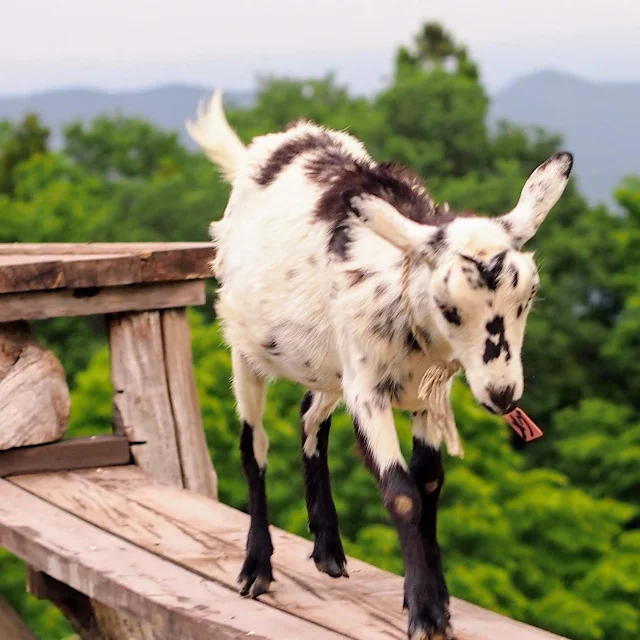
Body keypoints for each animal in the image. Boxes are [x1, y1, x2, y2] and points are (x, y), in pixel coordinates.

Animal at [188, 91, 572, 640]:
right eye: (449, 307)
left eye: (528, 296)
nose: (503, 394)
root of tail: (264, 149)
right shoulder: (367, 390)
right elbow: (403, 493)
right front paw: (427, 612)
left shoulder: (428, 391)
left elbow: (429, 480)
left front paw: (436, 596)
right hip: (246, 348)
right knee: (253, 445)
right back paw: (256, 567)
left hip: (327, 362)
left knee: (310, 418)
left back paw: (328, 547)